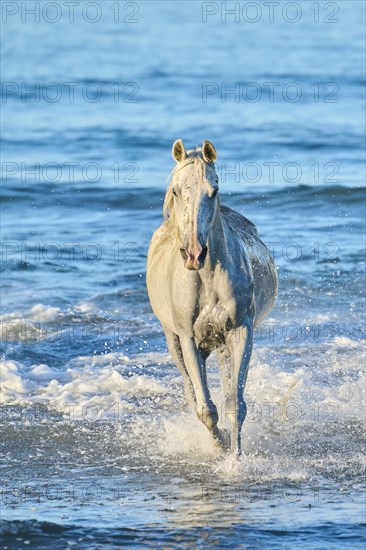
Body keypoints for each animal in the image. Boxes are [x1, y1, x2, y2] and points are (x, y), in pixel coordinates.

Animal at [146, 140, 278, 454]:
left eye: (213, 190)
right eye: (176, 191)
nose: (194, 254)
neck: (206, 278)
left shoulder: (241, 331)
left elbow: (235, 405)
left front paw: (235, 456)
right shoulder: (188, 340)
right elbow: (205, 408)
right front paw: (220, 447)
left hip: (221, 343)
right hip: (174, 342)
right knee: (191, 391)